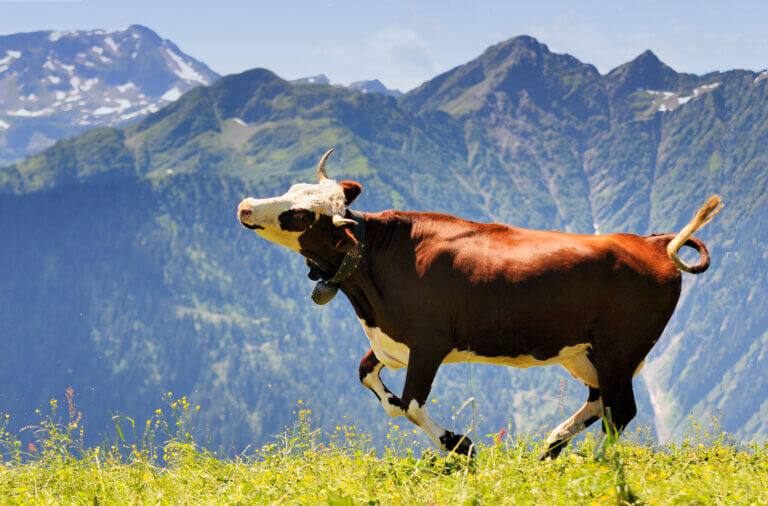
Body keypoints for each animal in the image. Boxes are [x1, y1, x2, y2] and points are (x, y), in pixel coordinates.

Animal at [237, 149, 724, 458]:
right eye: (293, 188)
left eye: (300, 216)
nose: (244, 206)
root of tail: (654, 242)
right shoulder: (390, 343)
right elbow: (374, 383)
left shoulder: (429, 342)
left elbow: (411, 405)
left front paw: (462, 445)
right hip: (586, 353)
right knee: (600, 402)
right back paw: (551, 447)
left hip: (619, 349)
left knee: (620, 410)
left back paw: (599, 463)